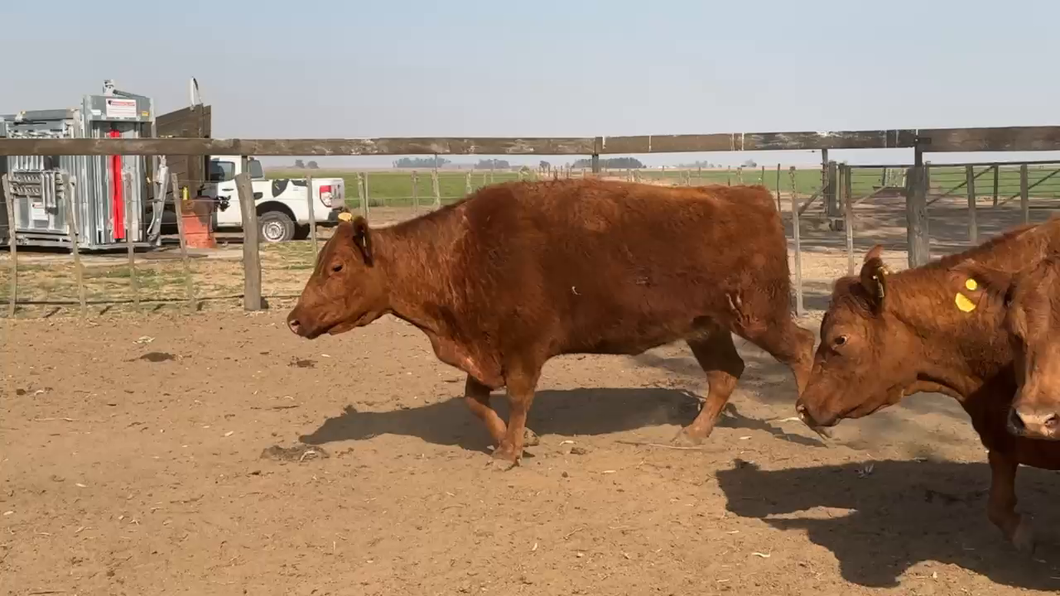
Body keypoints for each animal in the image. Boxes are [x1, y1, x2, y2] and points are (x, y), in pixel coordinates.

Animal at [281, 178, 809, 466]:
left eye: (337, 266)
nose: (294, 319)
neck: (462, 250)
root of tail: (751, 196)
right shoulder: (485, 350)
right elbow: (474, 399)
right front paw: (514, 441)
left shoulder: (523, 349)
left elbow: (517, 398)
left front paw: (509, 452)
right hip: (707, 326)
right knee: (725, 374)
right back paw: (693, 433)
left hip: (759, 317)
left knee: (801, 349)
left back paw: (811, 422)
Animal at [797, 217, 1060, 551]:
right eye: (1013, 330)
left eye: (839, 338)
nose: (802, 407)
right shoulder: (1001, 432)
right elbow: (998, 505)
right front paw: (1022, 533)